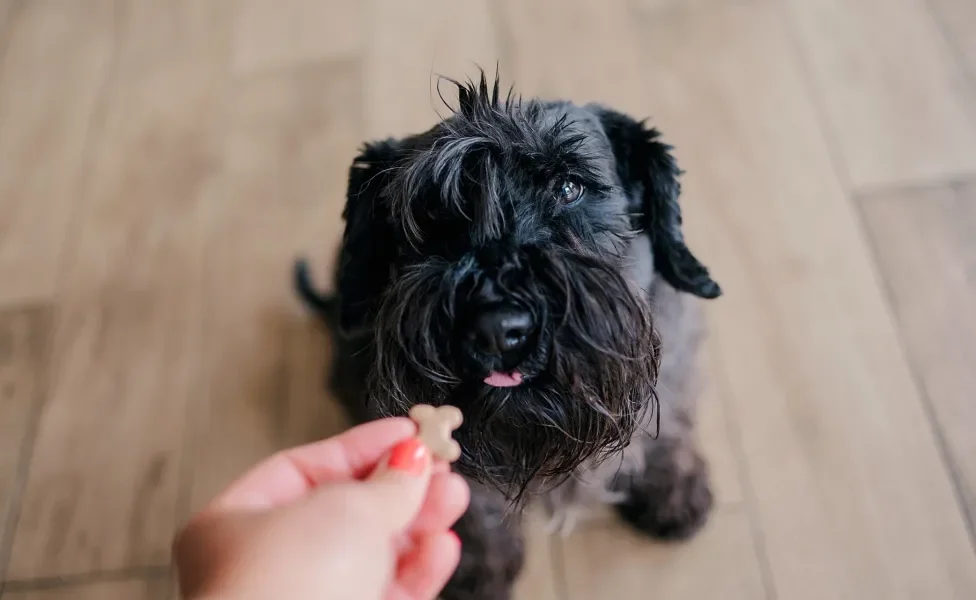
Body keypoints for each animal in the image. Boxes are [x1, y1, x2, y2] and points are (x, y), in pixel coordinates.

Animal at [294, 74, 720, 600]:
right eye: (431, 210)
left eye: (570, 186)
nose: (498, 331)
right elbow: (473, 509)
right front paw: (478, 569)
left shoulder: (676, 358)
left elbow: (672, 425)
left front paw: (672, 491)